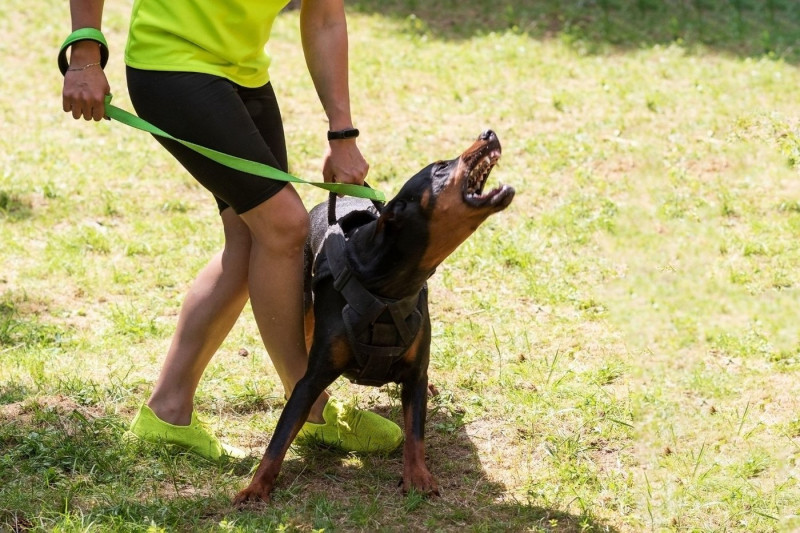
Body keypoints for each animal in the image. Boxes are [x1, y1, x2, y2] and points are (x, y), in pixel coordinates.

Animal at [234, 129, 516, 502]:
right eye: (440, 168)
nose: (488, 133)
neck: (386, 286)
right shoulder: (312, 379)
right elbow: (280, 436)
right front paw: (256, 488)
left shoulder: (414, 375)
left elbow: (415, 432)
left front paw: (418, 477)